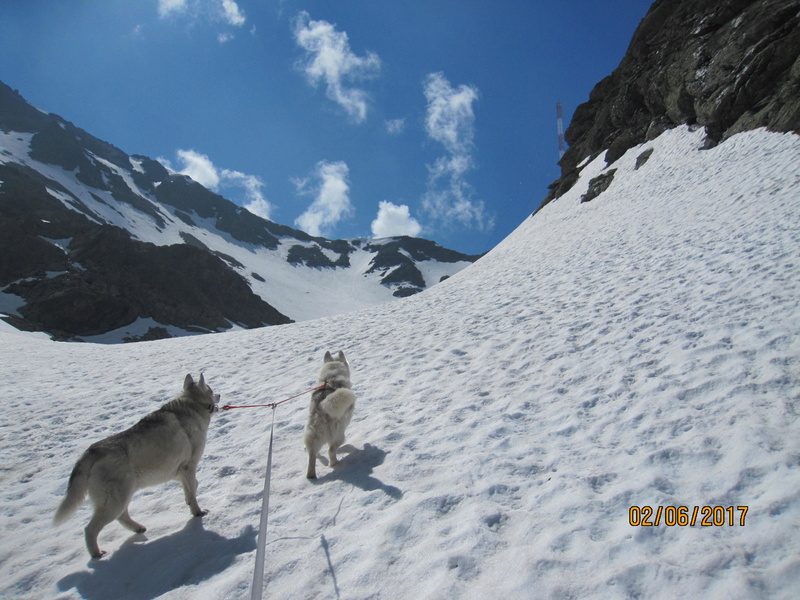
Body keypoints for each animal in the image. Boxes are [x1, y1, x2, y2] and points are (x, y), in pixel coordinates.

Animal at [54, 372, 219, 560]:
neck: (193, 404)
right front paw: (198, 512)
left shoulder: (180, 472)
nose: (219, 395)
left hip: (124, 495)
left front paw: (190, 502)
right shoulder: (188, 467)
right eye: (211, 389)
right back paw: (97, 553)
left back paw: (138, 528)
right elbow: (192, 492)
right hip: (115, 501)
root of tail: (91, 452)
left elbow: (191, 488)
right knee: (90, 529)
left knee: (122, 517)